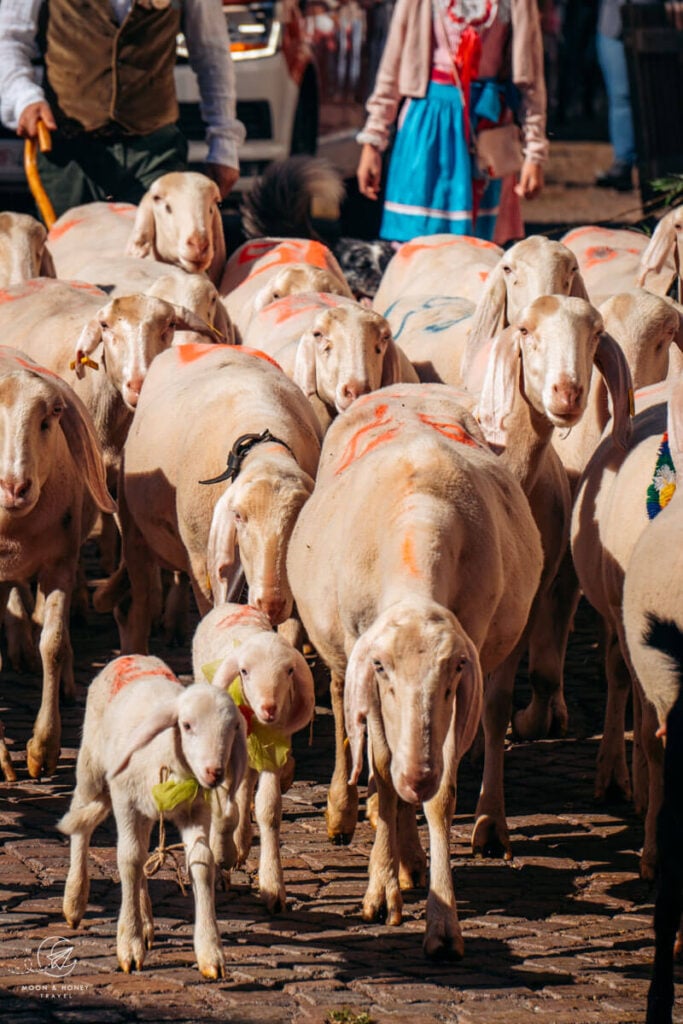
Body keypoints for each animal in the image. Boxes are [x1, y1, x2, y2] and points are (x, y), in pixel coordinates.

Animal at [0, 346, 114, 779]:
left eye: (51, 416)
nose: (15, 487)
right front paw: (3, 757)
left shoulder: (60, 565)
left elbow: (52, 645)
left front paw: (43, 749)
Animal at [58, 654, 247, 978]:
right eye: (186, 725)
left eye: (234, 728)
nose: (214, 772)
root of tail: (132, 656)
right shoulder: (125, 802)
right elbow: (129, 859)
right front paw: (129, 945)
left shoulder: (196, 810)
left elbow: (201, 862)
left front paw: (210, 952)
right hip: (91, 768)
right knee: (82, 824)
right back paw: (74, 900)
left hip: (146, 809)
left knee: (144, 852)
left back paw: (146, 921)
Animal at [95, 342, 321, 655]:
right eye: (238, 516)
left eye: (298, 520)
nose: (271, 605)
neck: (262, 448)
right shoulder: (201, 561)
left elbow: (290, 636)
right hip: (134, 532)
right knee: (137, 604)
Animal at [192, 602, 315, 912]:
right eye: (244, 671)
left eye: (290, 671)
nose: (269, 708)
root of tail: (231, 604)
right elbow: (225, 809)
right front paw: (222, 855)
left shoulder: (271, 751)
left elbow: (268, 808)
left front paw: (273, 886)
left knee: (246, 783)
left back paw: (241, 842)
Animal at [287, 383, 543, 958]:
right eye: (382, 667)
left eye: (453, 674)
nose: (417, 776)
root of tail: (403, 387)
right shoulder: (363, 655)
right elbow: (382, 769)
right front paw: (380, 891)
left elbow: (440, 795)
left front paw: (441, 921)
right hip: (340, 654)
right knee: (343, 708)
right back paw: (352, 817)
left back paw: (416, 855)